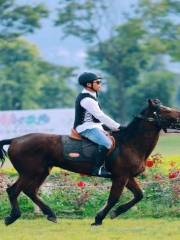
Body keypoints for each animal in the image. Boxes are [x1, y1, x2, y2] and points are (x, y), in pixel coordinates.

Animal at [0, 98, 180, 226]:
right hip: (30, 172)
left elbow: (139, 195)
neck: (129, 143)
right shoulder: (120, 177)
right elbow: (113, 198)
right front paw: (99, 218)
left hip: (42, 171)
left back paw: (50, 214)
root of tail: (15, 140)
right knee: (14, 190)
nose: (179, 114)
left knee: (30, 190)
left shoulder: (127, 177)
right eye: (164, 109)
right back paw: (13, 217)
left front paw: (116, 212)